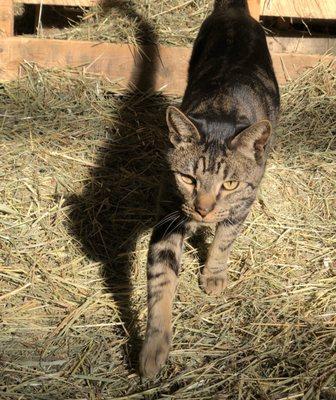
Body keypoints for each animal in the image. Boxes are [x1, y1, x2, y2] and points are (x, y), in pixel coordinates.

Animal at [138, 0, 278, 378]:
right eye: (188, 179)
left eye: (229, 183)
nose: (202, 209)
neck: (222, 109)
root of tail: (234, 10)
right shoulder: (168, 218)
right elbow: (161, 280)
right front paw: (155, 345)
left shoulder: (242, 202)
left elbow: (224, 240)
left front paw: (213, 274)